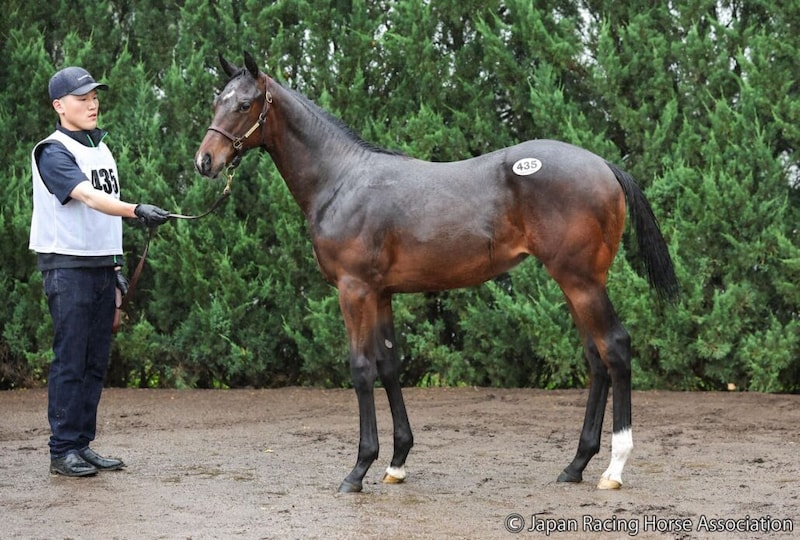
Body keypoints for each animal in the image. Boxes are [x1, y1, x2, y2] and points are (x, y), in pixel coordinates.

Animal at [194, 52, 679, 493]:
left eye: (244, 105)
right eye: (217, 101)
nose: (205, 161)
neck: (342, 180)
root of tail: (604, 165)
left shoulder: (354, 290)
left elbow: (361, 369)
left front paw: (358, 469)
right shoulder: (381, 292)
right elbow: (389, 365)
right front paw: (396, 462)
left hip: (581, 281)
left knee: (615, 347)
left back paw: (614, 469)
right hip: (575, 283)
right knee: (596, 359)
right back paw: (575, 465)